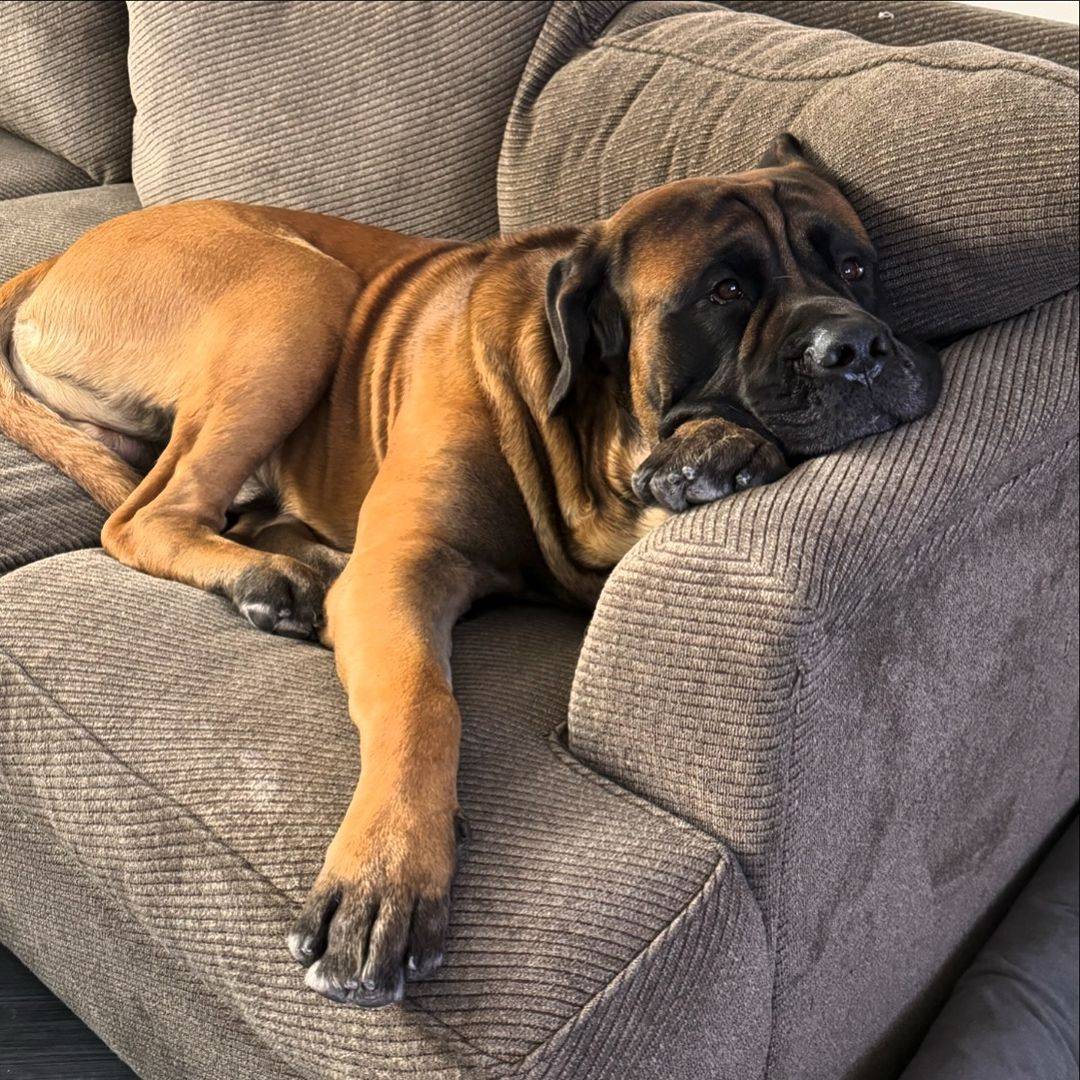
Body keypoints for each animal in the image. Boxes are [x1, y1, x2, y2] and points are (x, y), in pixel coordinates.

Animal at [0, 132, 937, 1002]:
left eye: (856, 266)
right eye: (726, 291)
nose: (860, 345)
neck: (581, 430)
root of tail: (57, 258)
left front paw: (718, 450)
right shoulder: (407, 566)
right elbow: (424, 702)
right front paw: (386, 871)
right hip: (298, 290)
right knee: (143, 516)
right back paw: (272, 579)